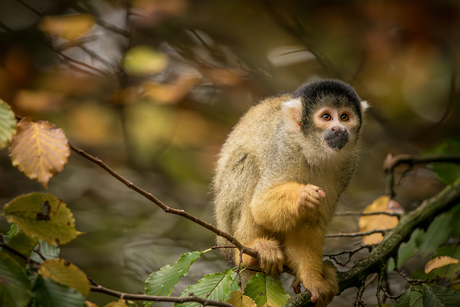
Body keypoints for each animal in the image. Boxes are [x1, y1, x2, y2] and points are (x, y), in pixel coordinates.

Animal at [214, 80, 368, 306]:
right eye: (326, 117)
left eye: (345, 117)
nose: (339, 129)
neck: (314, 151)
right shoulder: (285, 150)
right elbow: (260, 204)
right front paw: (302, 195)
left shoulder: (348, 166)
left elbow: (311, 222)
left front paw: (313, 280)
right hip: (226, 227)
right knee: (247, 164)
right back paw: (252, 250)